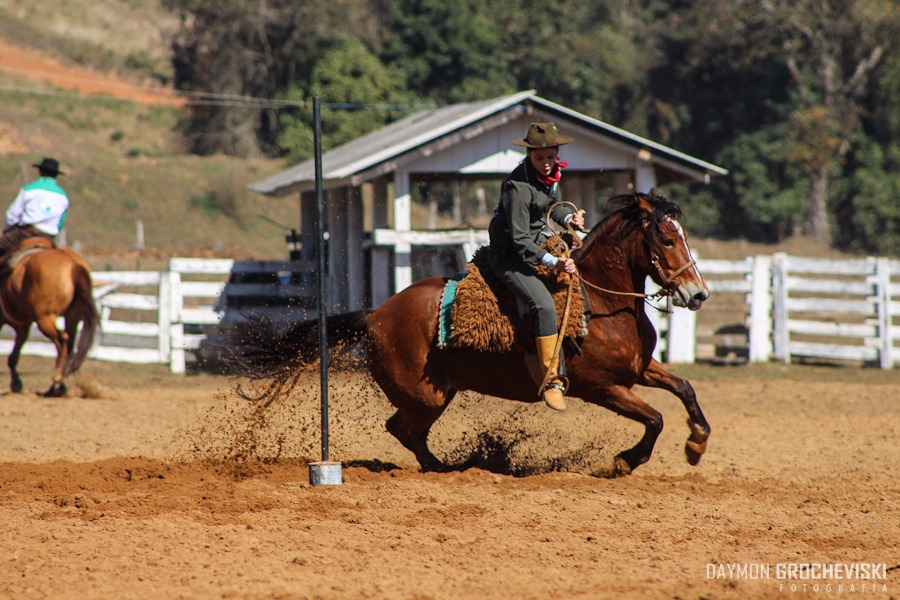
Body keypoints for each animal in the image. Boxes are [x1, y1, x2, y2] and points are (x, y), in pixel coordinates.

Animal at [0, 238, 99, 397]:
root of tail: (73, 263)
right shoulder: (22, 326)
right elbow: (13, 357)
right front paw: (16, 383)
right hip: (71, 317)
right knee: (67, 345)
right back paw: (56, 387)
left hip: (44, 319)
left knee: (62, 340)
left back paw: (57, 379)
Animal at [228, 189, 711, 476]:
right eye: (668, 240)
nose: (698, 293)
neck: (601, 303)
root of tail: (376, 314)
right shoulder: (601, 387)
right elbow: (655, 418)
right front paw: (623, 462)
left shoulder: (640, 369)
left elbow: (685, 389)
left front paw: (697, 443)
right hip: (426, 395)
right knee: (402, 429)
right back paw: (446, 469)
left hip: (436, 393)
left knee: (407, 431)